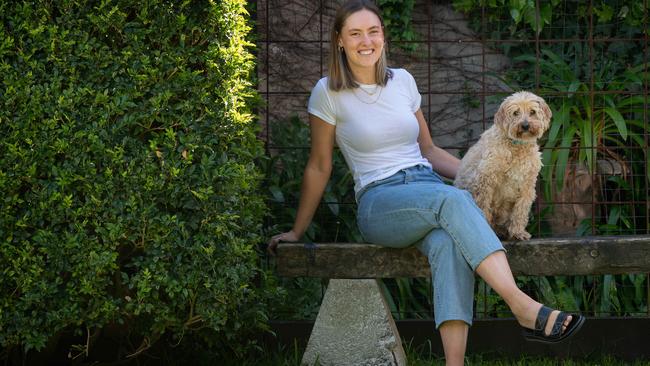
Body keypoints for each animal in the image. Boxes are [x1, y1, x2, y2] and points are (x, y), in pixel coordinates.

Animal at [454, 91, 548, 240]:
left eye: (532, 111)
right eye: (516, 112)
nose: (525, 125)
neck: (517, 146)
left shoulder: (527, 186)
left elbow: (520, 211)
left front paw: (518, 232)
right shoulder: (485, 181)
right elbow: (483, 207)